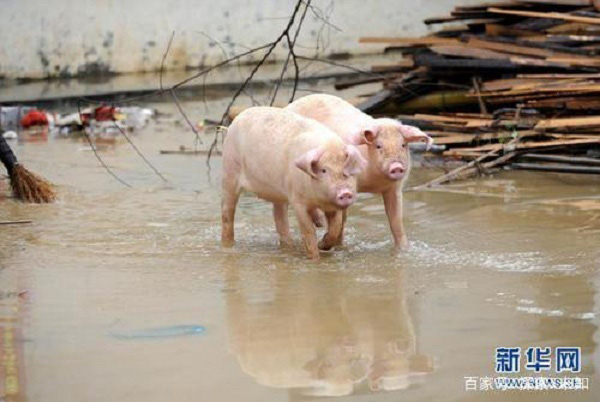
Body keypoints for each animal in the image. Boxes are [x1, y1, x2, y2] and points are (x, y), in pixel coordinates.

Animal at [221, 105, 366, 260]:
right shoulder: (297, 201)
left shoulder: (332, 205)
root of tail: (238, 118)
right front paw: (315, 258)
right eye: (324, 170)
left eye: (347, 168)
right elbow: (308, 231)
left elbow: (336, 227)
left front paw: (323, 245)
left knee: (279, 218)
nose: (345, 192)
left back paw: (302, 236)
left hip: (278, 194)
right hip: (229, 170)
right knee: (227, 213)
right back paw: (228, 245)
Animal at [286, 94, 432, 248]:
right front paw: (327, 245)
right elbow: (341, 220)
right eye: (378, 146)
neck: (372, 183)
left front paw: (404, 249)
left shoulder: (394, 189)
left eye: (403, 145)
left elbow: (396, 221)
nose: (396, 166)